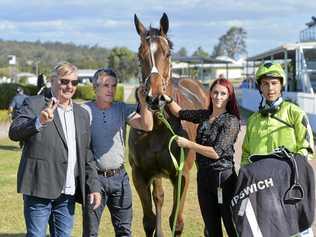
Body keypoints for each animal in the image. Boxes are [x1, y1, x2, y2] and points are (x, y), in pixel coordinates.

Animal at [128, 12, 210, 237]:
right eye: (140, 55)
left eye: (168, 53)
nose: (155, 98)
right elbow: (149, 220)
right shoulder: (140, 174)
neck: (158, 126)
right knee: (159, 197)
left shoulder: (182, 175)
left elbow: (177, 222)